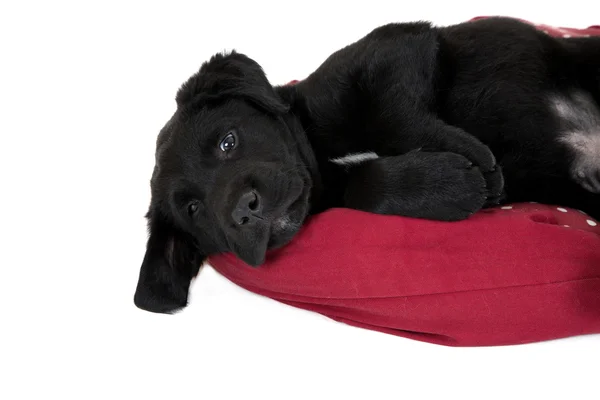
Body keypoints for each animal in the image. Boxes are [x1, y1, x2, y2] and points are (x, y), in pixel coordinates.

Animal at [134, 18, 600, 312]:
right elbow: (367, 185)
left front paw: (470, 157)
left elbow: (390, 117)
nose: (243, 212)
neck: (320, 156)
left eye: (227, 141)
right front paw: (448, 184)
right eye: (194, 209)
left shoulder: (394, 47)